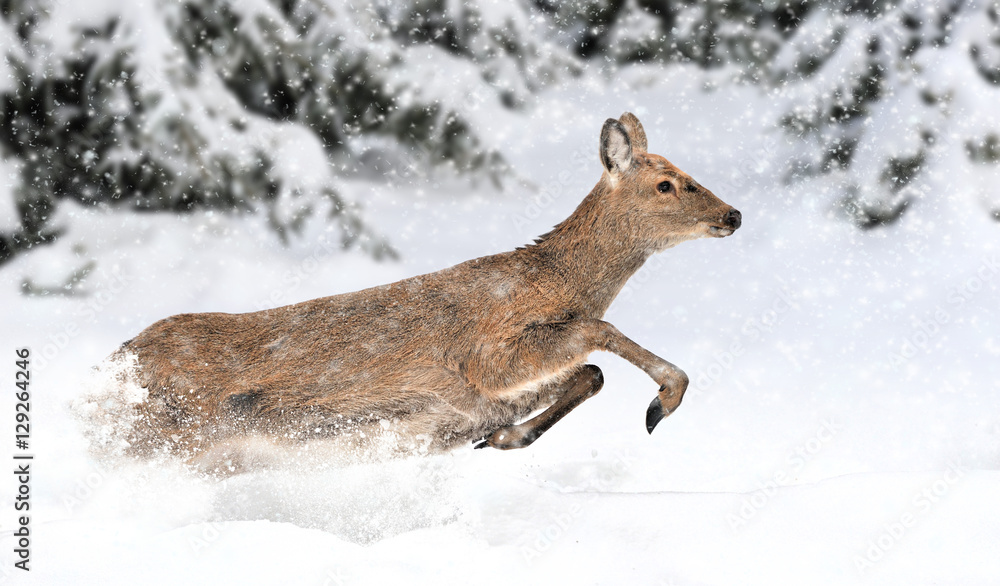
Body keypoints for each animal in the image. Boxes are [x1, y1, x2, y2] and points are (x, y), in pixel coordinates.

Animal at [97, 112, 740, 468]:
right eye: (666, 184)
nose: (732, 214)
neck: (552, 281)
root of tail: (114, 363)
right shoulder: (486, 353)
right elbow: (599, 333)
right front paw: (665, 399)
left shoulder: (491, 390)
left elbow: (590, 373)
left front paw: (502, 439)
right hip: (162, 433)